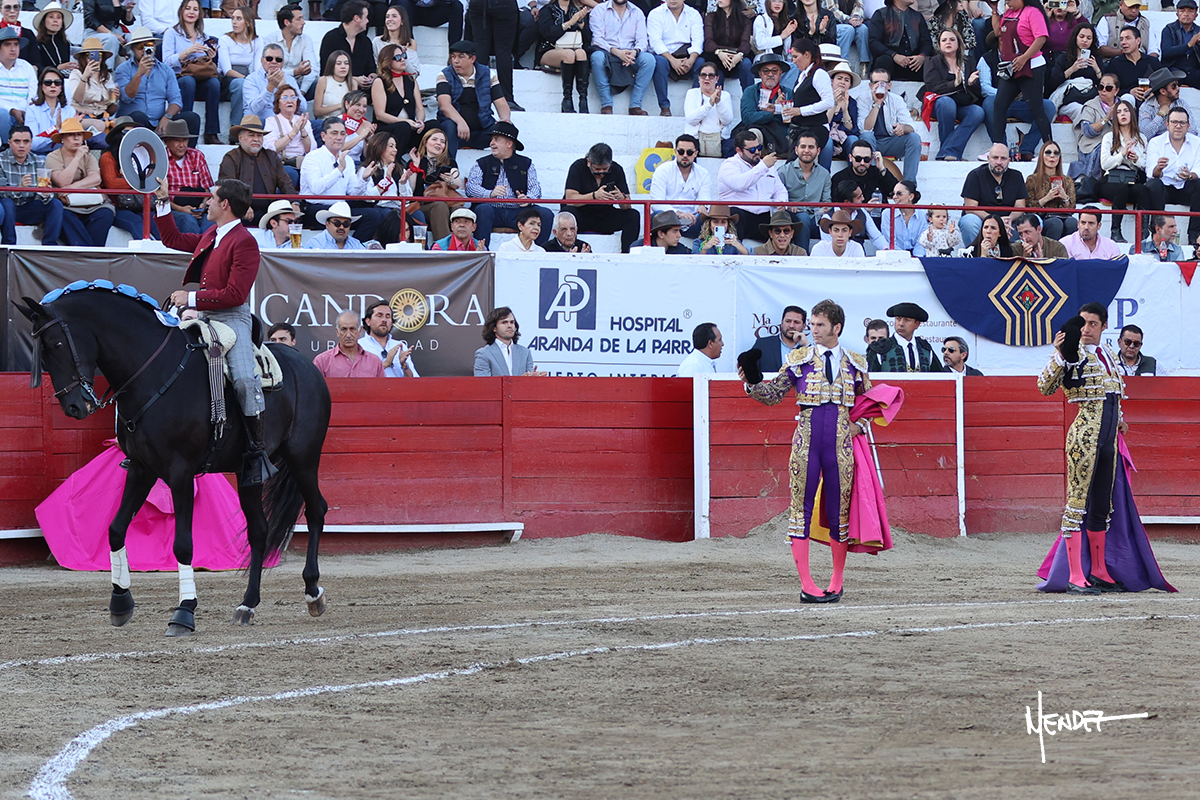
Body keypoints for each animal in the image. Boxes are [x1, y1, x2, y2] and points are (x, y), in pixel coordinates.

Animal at [16, 282, 332, 636]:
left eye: (57, 343)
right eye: (42, 350)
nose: (73, 406)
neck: (153, 372)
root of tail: (307, 367)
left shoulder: (179, 472)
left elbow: (183, 544)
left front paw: (184, 612)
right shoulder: (141, 469)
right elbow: (115, 529)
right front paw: (120, 602)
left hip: (304, 457)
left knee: (316, 510)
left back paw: (312, 591)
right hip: (248, 472)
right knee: (259, 530)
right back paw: (247, 604)